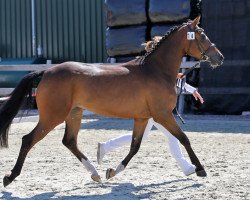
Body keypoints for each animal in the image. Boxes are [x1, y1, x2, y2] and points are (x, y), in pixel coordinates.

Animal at [0, 16, 223, 187]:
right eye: (202, 35)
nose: (219, 57)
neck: (156, 71)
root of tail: (46, 72)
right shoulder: (163, 115)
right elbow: (184, 138)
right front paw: (200, 169)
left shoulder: (142, 118)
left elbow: (134, 146)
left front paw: (112, 171)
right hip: (52, 116)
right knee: (28, 140)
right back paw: (10, 177)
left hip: (74, 113)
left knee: (69, 141)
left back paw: (95, 173)